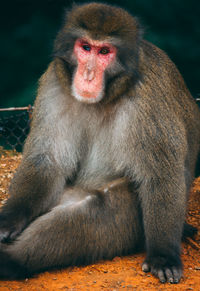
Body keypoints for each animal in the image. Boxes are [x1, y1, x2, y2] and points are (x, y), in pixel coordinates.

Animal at [0, 2, 200, 286]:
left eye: (105, 51)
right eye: (85, 47)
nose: (88, 73)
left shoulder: (148, 96)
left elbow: (159, 175)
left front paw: (163, 256)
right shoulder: (54, 82)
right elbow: (47, 160)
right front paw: (9, 219)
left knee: (100, 207)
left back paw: (10, 261)